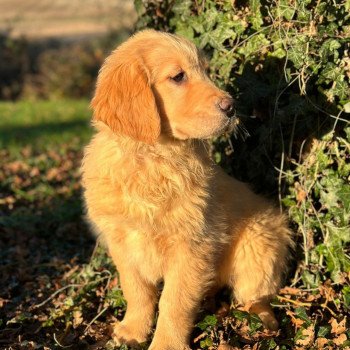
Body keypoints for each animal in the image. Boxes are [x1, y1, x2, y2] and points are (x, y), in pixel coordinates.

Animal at [80, 30, 292, 350]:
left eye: (205, 71)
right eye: (178, 76)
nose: (231, 107)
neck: (152, 158)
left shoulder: (191, 246)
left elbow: (174, 302)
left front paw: (165, 344)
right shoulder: (122, 243)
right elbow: (136, 290)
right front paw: (132, 330)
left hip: (259, 243)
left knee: (255, 295)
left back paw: (264, 324)